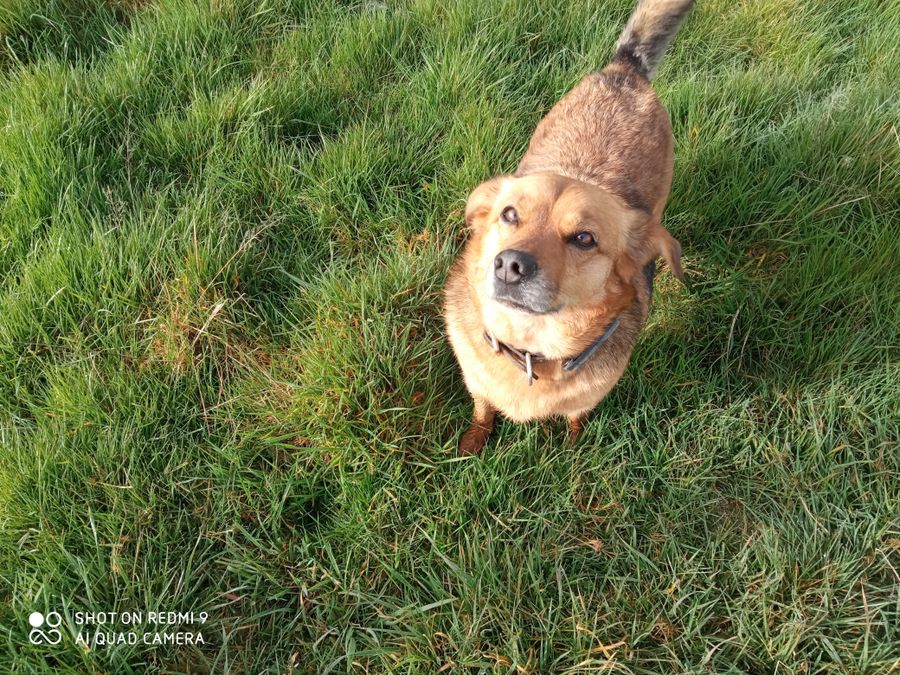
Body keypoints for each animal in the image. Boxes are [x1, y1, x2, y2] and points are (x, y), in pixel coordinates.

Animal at [444, 0, 693, 454]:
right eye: (509, 214)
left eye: (584, 238)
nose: (509, 266)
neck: (531, 347)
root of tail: (624, 70)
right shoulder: (478, 384)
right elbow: (482, 410)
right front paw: (472, 443)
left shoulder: (586, 401)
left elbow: (576, 419)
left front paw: (573, 449)